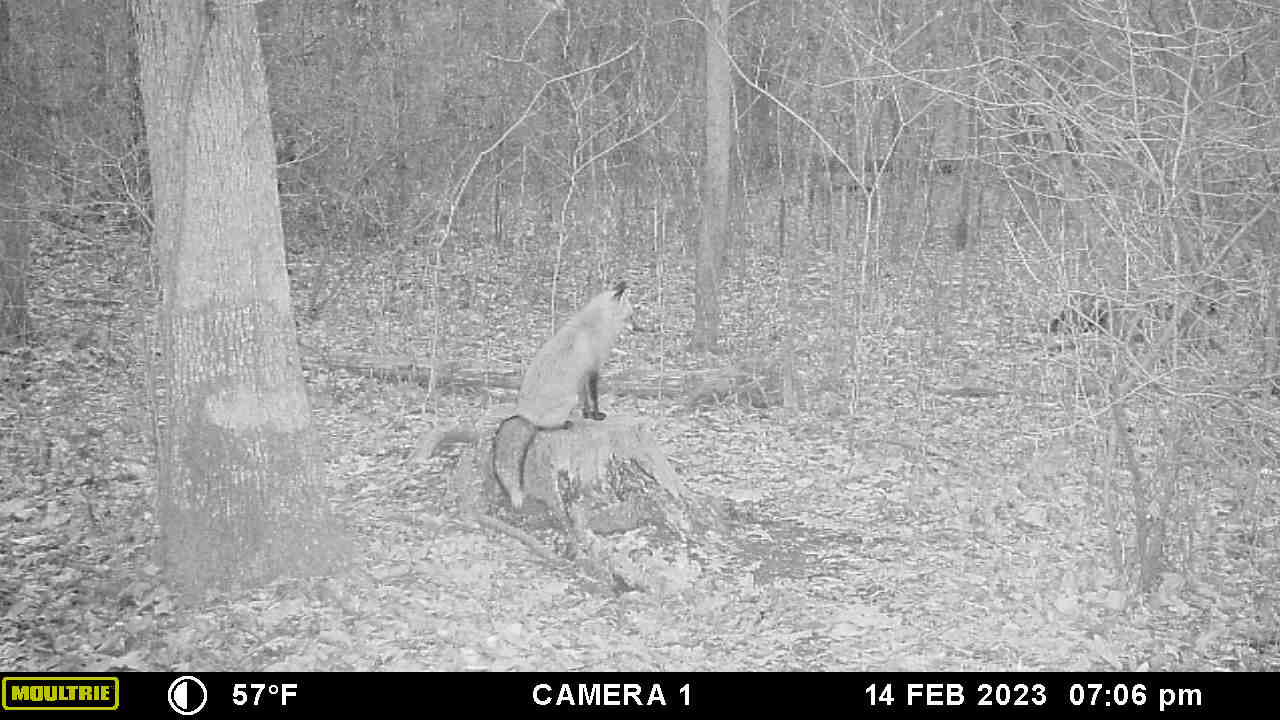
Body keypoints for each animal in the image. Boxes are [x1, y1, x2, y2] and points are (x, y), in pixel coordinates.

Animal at [492, 282, 635, 510]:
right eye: (631, 316)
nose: (641, 328)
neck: (593, 327)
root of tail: (524, 416)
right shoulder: (592, 371)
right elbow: (594, 398)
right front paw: (596, 416)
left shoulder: (582, 377)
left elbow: (586, 400)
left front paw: (587, 415)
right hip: (568, 401)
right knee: (543, 428)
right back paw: (563, 424)